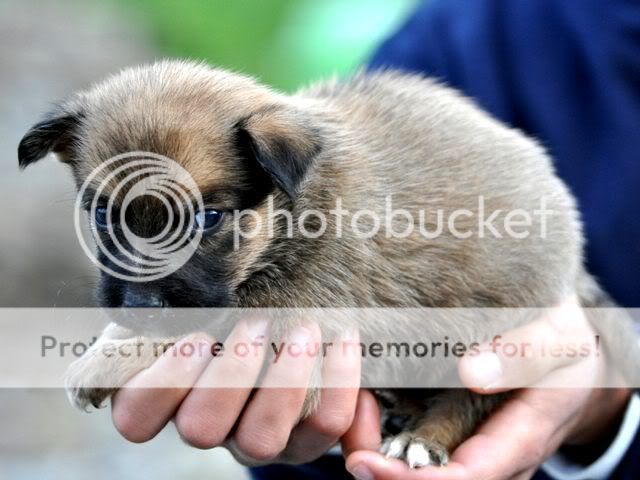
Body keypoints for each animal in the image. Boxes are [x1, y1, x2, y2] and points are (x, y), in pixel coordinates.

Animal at [17, 61, 636, 468]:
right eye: (102, 213)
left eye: (208, 219)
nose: (141, 306)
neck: (292, 213)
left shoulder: (292, 317)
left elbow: (202, 321)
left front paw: (103, 360)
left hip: (489, 332)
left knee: (473, 396)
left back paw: (423, 439)